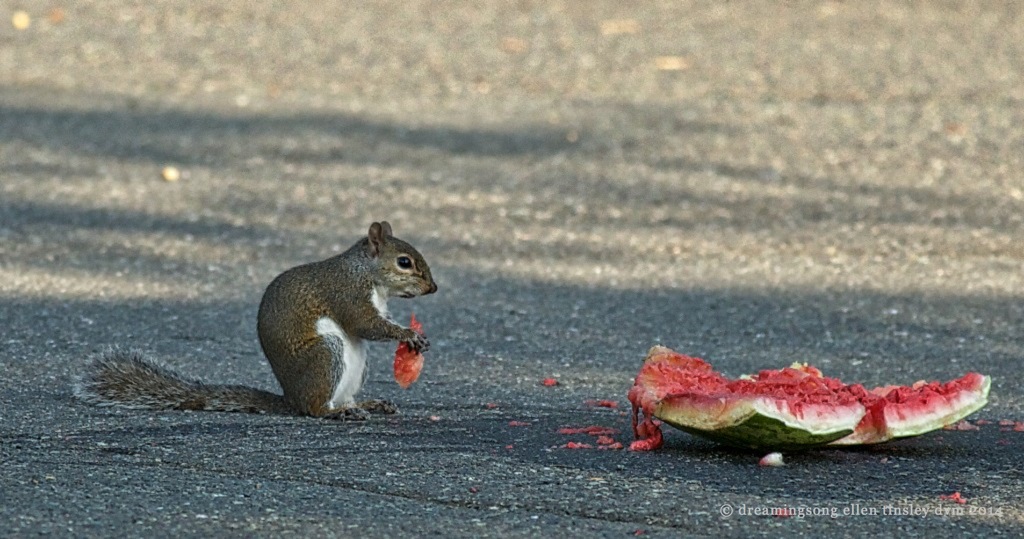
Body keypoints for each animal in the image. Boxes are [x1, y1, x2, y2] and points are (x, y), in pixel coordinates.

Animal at [73, 221, 437, 420]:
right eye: (404, 262)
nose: (433, 288)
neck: (367, 273)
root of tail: (290, 399)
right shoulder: (346, 293)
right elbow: (365, 324)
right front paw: (406, 333)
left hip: (355, 363)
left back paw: (368, 404)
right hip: (325, 353)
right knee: (315, 408)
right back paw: (337, 412)